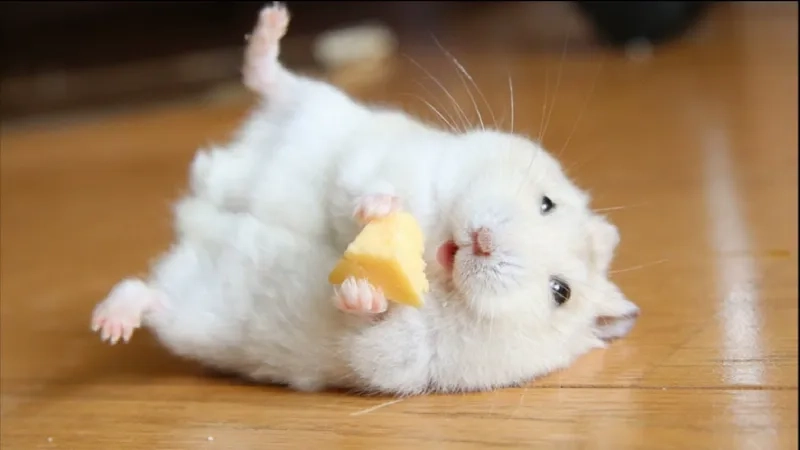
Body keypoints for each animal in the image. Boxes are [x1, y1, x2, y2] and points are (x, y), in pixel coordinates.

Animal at [90, 3, 640, 396]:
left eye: (560, 292)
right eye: (547, 202)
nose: (483, 241)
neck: (433, 260)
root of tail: (191, 213)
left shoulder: (403, 361)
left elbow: (373, 327)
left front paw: (360, 290)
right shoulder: (404, 158)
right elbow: (368, 184)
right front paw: (375, 210)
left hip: (188, 315)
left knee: (146, 295)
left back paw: (111, 323)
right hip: (313, 103)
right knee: (269, 79)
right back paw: (273, 21)